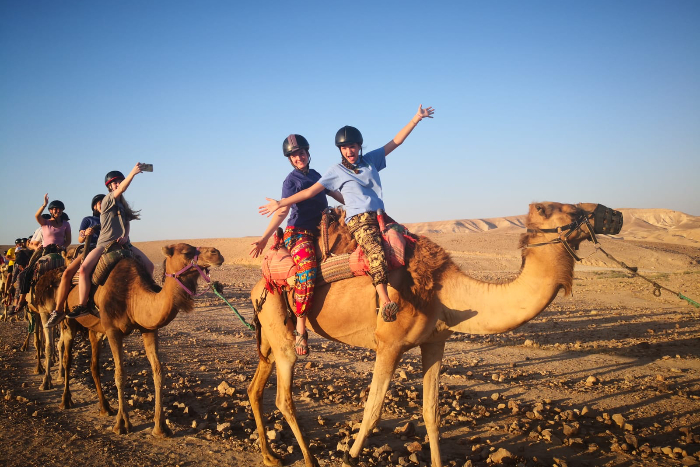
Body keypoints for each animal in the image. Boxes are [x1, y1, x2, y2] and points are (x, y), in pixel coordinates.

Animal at [61, 243, 224, 436]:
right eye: (186, 252)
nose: (217, 253)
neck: (131, 296)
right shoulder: (113, 330)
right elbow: (120, 374)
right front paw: (122, 424)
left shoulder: (149, 329)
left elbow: (158, 372)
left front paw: (160, 427)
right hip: (68, 319)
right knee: (67, 358)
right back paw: (65, 400)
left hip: (96, 330)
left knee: (94, 365)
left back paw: (105, 407)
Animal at [247, 202, 624, 467]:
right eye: (564, 209)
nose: (615, 215)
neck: (444, 291)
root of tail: (257, 286)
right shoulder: (389, 344)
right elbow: (373, 410)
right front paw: (349, 456)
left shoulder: (435, 342)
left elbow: (431, 412)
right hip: (283, 330)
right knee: (284, 397)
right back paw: (308, 458)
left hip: (270, 332)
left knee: (256, 387)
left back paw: (270, 455)